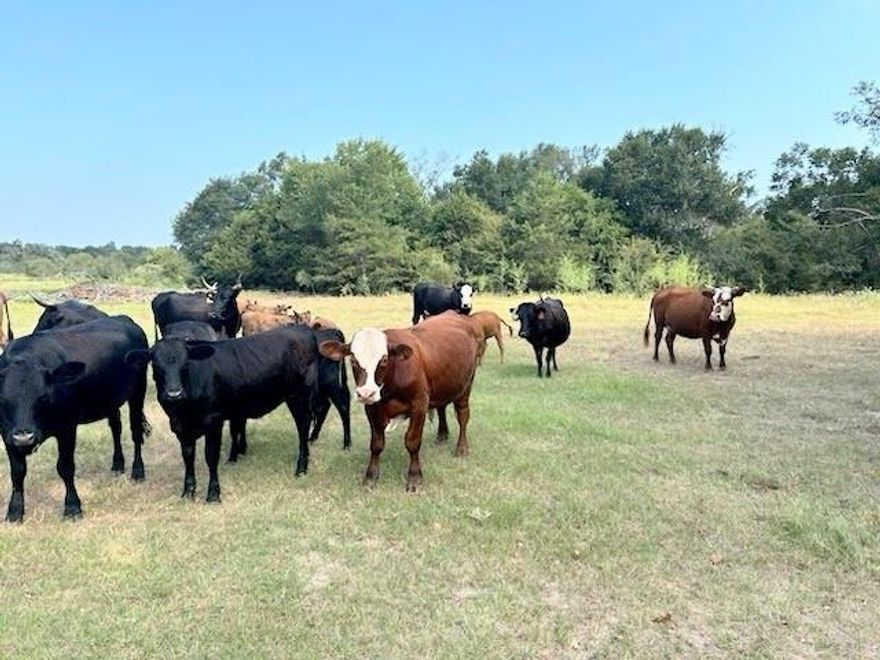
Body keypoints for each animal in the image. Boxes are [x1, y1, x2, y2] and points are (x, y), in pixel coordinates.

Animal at [0, 316, 150, 522]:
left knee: (135, 432)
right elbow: (17, 472)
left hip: (138, 391)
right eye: (3, 399)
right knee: (116, 428)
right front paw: (14, 511)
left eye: (43, 397)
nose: (24, 437)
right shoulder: (6, 434)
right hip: (110, 401)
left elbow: (65, 467)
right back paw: (117, 464)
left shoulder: (67, 428)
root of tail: (123, 318)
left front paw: (72, 507)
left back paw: (137, 471)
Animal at [125, 325, 318, 502]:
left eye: (186, 364)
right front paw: (188, 492)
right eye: (156, 366)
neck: (183, 410)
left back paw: (301, 468)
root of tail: (303, 329)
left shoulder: (213, 422)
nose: (174, 394)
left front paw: (213, 494)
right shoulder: (181, 428)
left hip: (299, 396)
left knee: (303, 427)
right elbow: (188, 457)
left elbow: (211, 457)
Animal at [319, 313, 480, 492]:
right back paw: (442, 434)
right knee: (441, 408)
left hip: (467, 383)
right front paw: (371, 476)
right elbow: (376, 444)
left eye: (384, 360)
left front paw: (415, 477)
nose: (366, 393)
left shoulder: (419, 404)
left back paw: (462, 448)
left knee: (463, 415)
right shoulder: (372, 408)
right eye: (353, 359)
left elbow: (412, 442)